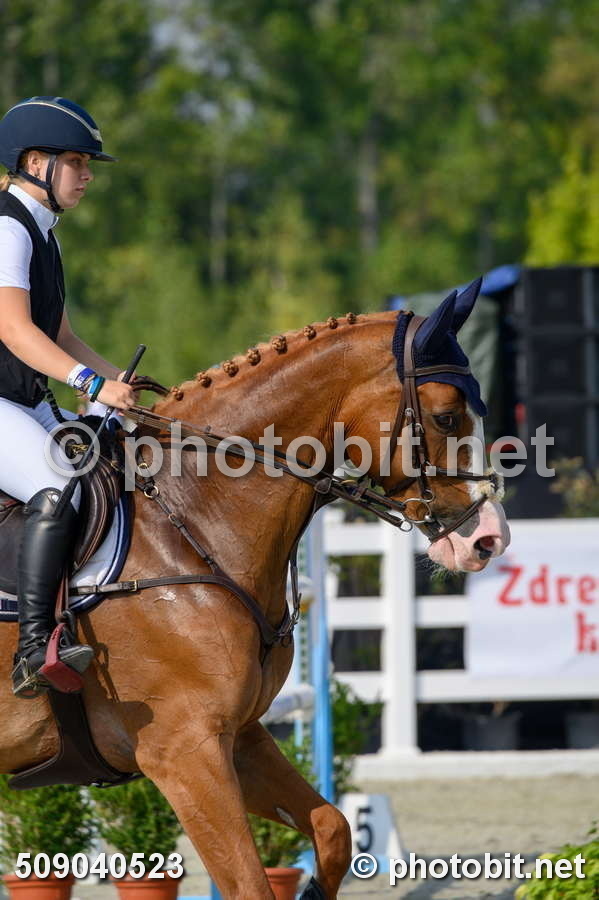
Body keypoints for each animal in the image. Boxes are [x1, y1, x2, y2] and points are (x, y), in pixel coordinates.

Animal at [0, 285, 509, 898]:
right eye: (446, 416)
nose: (488, 539)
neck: (190, 519)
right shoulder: (184, 752)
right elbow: (249, 882)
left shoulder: (238, 736)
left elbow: (332, 828)